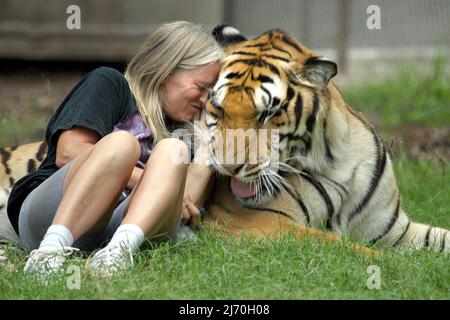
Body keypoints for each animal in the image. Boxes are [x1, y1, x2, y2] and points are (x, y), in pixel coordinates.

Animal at [201, 23, 450, 254]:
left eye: (268, 113)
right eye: (218, 108)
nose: (228, 167)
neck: (335, 160)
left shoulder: (395, 231)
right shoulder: (254, 222)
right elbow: (347, 248)